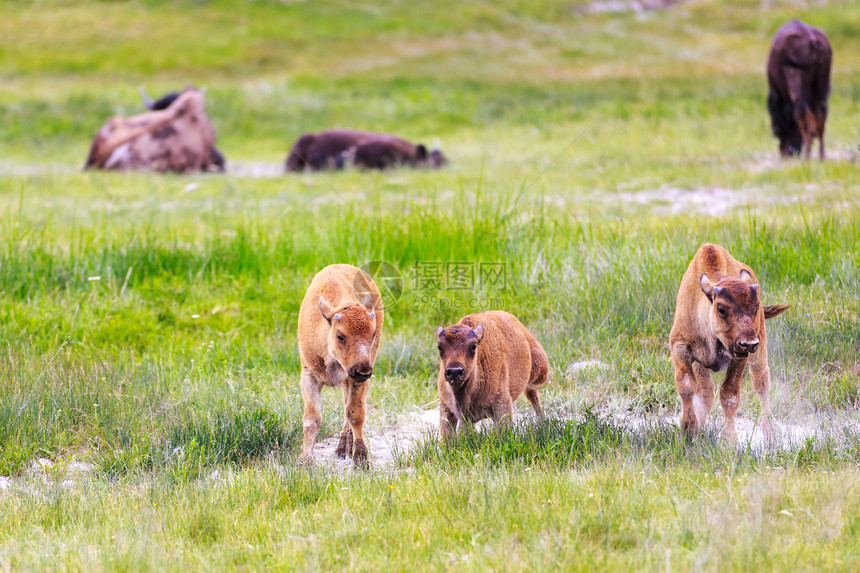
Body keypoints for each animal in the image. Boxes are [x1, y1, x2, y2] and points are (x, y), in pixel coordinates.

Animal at [298, 264, 386, 464]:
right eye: (340, 335)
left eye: (372, 334)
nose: (363, 371)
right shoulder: (309, 376)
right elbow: (312, 419)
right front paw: (305, 460)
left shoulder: (356, 379)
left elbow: (355, 415)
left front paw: (360, 459)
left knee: (349, 409)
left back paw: (343, 448)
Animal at [436, 310, 552, 440]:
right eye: (440, 347)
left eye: (473, 347)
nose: (454, 372)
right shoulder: (446, 409)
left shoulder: (502, 405)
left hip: (539, 372)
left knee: (532, 394)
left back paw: (543, 421)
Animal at [668, 244, 788, 440]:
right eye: (722, 309)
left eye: (756, 307)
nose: (749, 343)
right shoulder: (680, 347)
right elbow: (686, 385)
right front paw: (689, 427)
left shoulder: (740, 357)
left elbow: (729, 395)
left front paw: (729, 439)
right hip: (703, 364)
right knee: (706, 392)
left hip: (759, 351)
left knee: (761, 384)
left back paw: (769, 434)